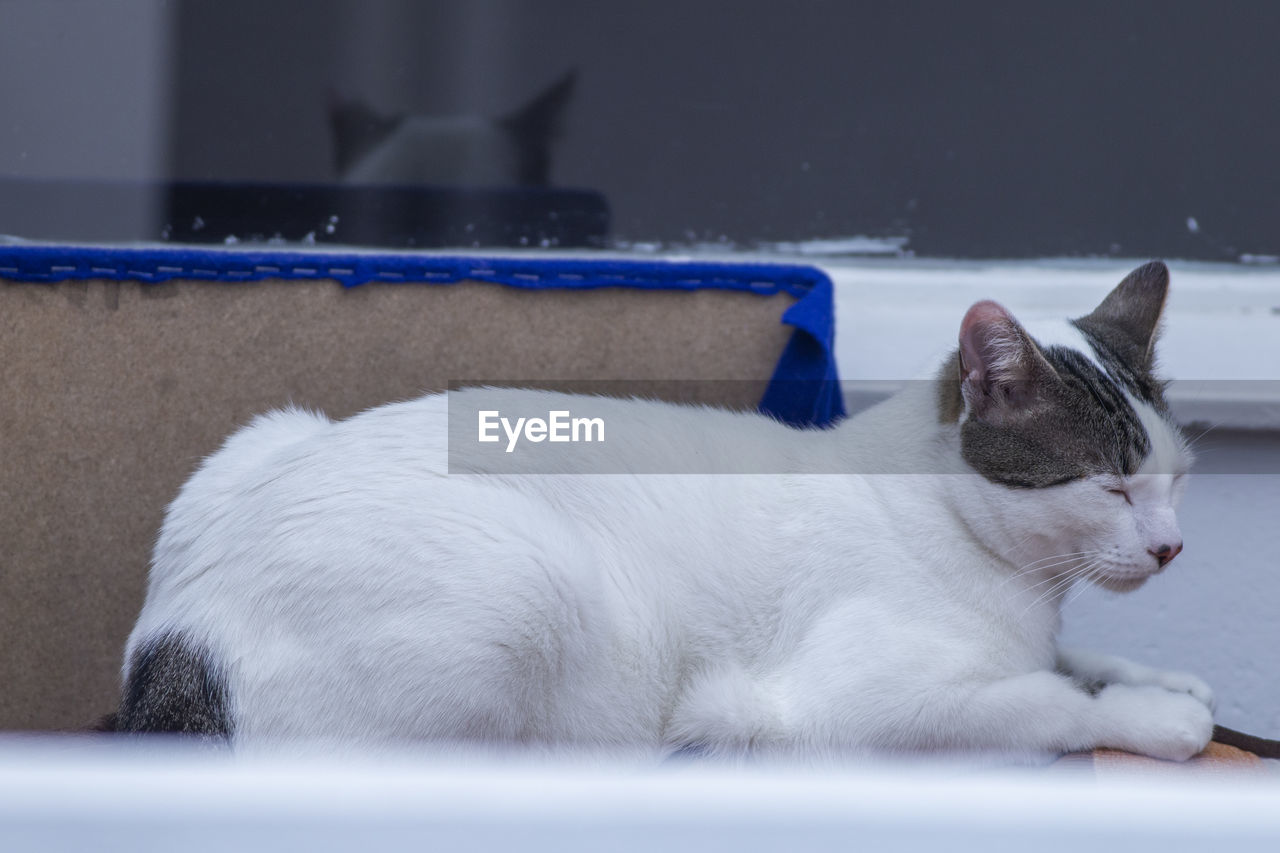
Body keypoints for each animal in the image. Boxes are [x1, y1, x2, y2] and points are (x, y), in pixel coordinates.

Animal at [115, 258, 1213, 758]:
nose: (1171, 547)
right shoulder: (854, 704)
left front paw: (1165, 676)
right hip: (526, 586)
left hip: (257, 436)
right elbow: (1049, 700)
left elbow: (1073, 661)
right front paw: (1159, 716)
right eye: (1111, 483)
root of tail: (175, 643)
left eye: (1174, 478)